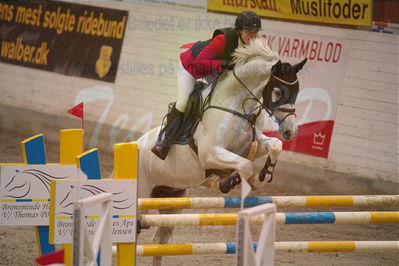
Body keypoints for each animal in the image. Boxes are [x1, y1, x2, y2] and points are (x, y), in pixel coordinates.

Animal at [136, 37, 308, 266]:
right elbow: (244, 166)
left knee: (159, 241)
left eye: (296, 92)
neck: (238, 107)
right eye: (278, 92)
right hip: (142, 197)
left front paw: (263, 175)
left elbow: (274, 145)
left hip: (172, 199)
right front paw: (229, 181)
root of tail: (134, 144)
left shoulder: (252, 145)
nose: (290, 131)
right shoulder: (211, 154)